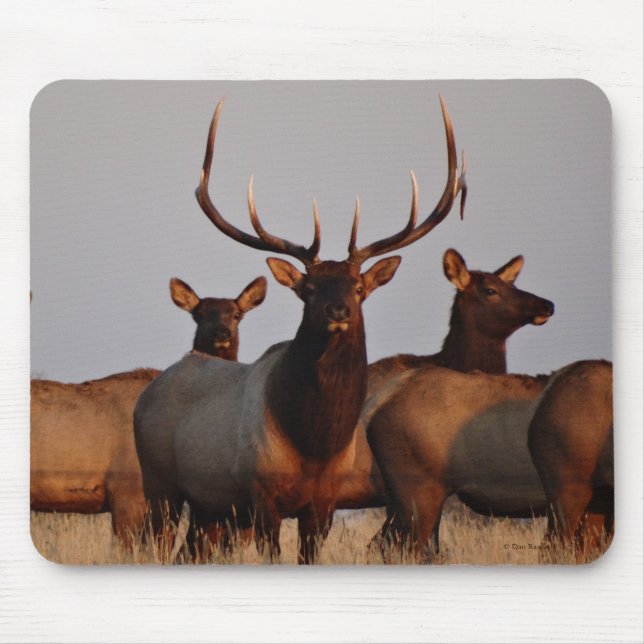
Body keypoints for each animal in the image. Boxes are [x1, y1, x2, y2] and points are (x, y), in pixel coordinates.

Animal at [133, 96, 466, 564]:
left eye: (359, 287)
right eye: (307, 289)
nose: (338, 309)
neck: (313, 443)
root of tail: (148, 392)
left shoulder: (323, 503)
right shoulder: (261, 494)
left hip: (208, 506)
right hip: (159, 483)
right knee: (154, 539)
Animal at [363, 359, 612, 562]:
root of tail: (375, 403)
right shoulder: (570, 489)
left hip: (401, 500)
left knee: (381, 544)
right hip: (419, 495)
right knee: (404, 549)